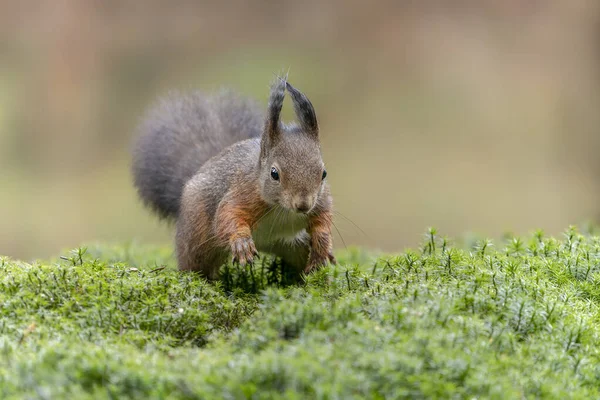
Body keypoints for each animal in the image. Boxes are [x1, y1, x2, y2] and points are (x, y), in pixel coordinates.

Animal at [131, 76, 336, 280]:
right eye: (274, 173)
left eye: (324, 173)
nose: (303, 205)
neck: (283, 210)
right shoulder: (243, 193)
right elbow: (228, 216)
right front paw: (242, 243)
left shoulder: (321, 201)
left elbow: (324, 220)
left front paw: (322, 246)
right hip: (196, 240)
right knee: (195, 264)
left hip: (294, 247)